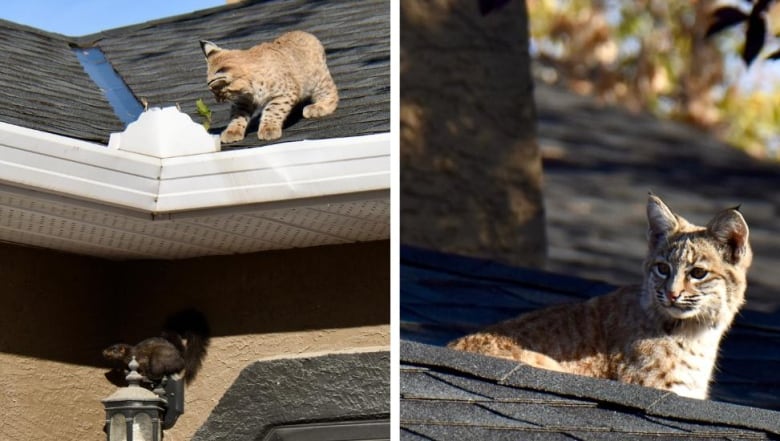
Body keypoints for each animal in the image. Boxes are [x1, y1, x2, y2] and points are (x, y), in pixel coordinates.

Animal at [200, 31, 336, 144]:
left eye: (216, 91)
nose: (217, 100)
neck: (249, 89)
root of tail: (306, 33)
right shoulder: (242, 102)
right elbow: (237, 116)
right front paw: (232, 131)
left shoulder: (285, 93)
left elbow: (273, 110)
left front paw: (268, 129)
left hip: (317, 80)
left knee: (332, 93)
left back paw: (318, 107)